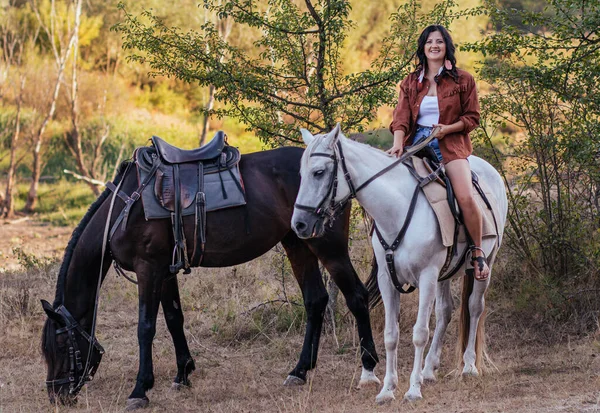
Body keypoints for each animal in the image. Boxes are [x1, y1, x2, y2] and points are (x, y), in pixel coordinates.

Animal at [41, 146, 380, 408]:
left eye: (59, 344)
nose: (57, 396)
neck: (125, 208)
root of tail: (342, 175)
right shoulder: (165, 272)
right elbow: (174, 319)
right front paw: (183, 373)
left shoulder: (148, 269)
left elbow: (145, 328)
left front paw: (140, 389)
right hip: (298, 243)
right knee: (315, 301)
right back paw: (299, 371)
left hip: (328, 247)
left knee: (356, 296)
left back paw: (369, 367)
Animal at [290, 124, 506, 402]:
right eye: (301, 173)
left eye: (318, 172)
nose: (299, 224)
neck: (397, 210)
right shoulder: (387, 280)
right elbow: (391, 335)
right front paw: (387, 389)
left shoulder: (426, 276)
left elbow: (419, 333)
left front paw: (413, 389)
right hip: (444, 275)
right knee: (445, 311)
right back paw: (429, 369)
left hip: (484, 264)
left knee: (475, 307)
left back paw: (469, 365)